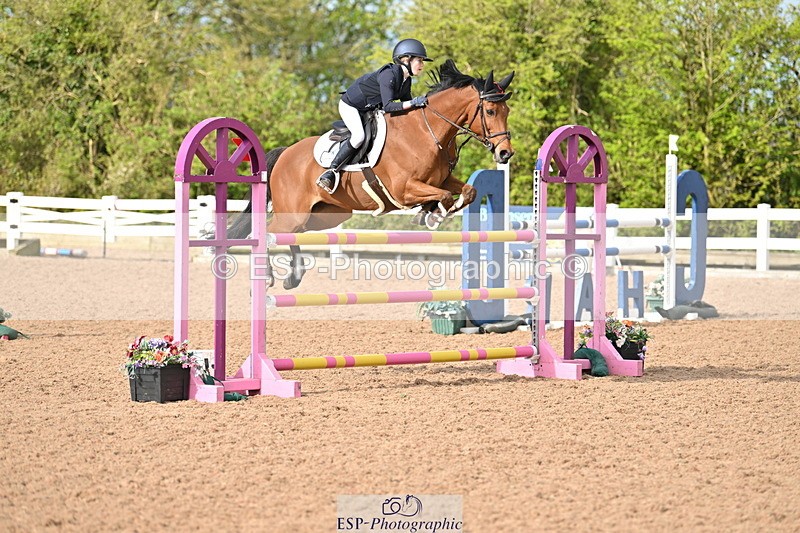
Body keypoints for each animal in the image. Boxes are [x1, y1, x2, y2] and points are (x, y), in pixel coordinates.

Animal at [230, 59, 515, 289]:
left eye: (507, 111)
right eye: (490, 111)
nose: (505, 154)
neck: (427, 131)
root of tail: (285, 153)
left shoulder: (440, 180)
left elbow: (467, 191)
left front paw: (430, 213)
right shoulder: (404, 190)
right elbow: (443, 196)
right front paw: (431, 215)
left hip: (323, 216)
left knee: (288, 234)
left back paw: (294, 277)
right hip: (295, 214)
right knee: (267, 233)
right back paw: (268, 277)